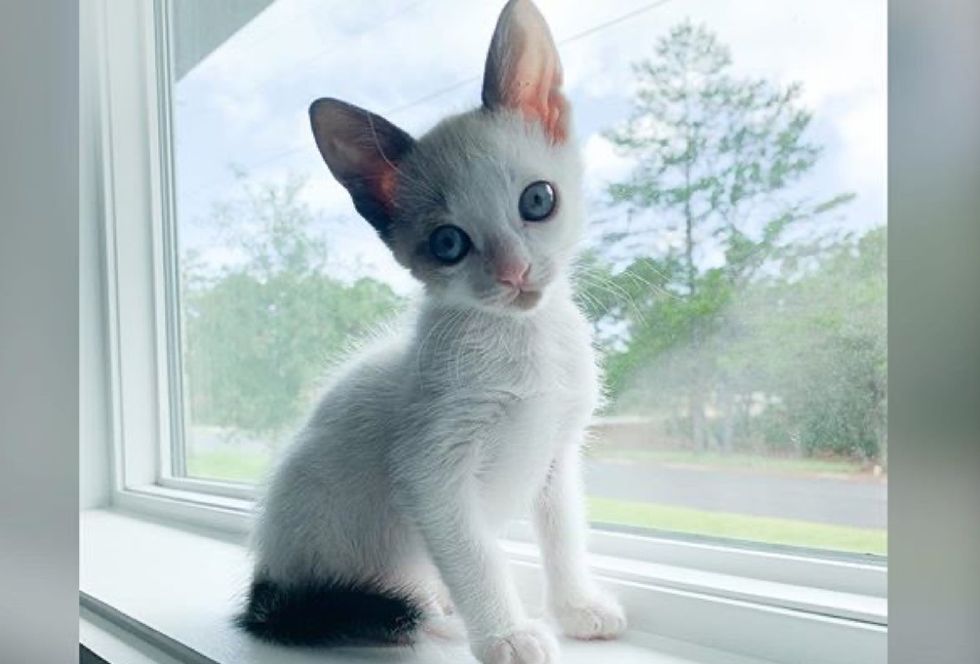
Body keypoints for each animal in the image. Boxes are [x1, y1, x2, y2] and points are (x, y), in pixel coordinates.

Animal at [237, 2, 628, 660]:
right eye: (449, 243)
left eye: (538, 200)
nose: (514, 271)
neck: (523, 343)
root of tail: (265, 582)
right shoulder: (431, 470)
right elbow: (474, 557)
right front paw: (506, 634)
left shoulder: (557, 455)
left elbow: (563, 532)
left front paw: (576, 606)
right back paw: (425, 610)